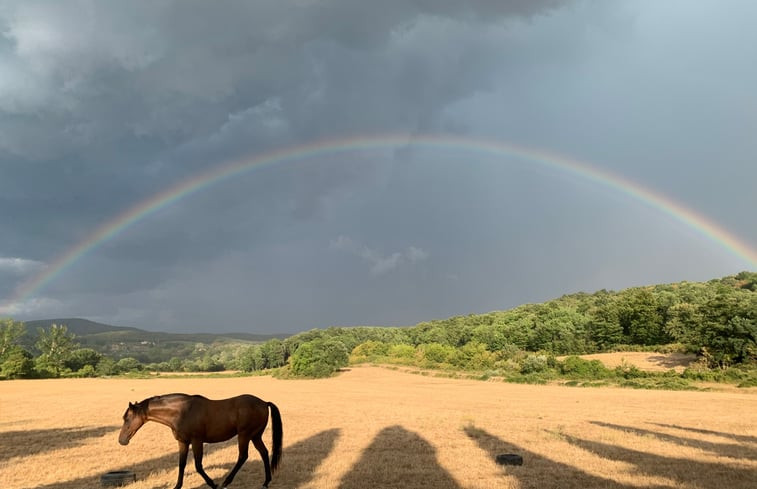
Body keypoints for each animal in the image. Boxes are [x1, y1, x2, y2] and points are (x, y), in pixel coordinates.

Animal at [118, 392, 284, 488]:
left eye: (127, 418)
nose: (122, 440)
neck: (182, 411)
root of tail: (264, 403)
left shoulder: (197, 441)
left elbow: (198, 465)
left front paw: (212, 484)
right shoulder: (183, 442)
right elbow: (182, 464)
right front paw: (177, 486)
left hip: (244, 435)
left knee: (243, 456)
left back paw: (225, 482)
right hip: (255, 436)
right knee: (264, 453)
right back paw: (266, 482)